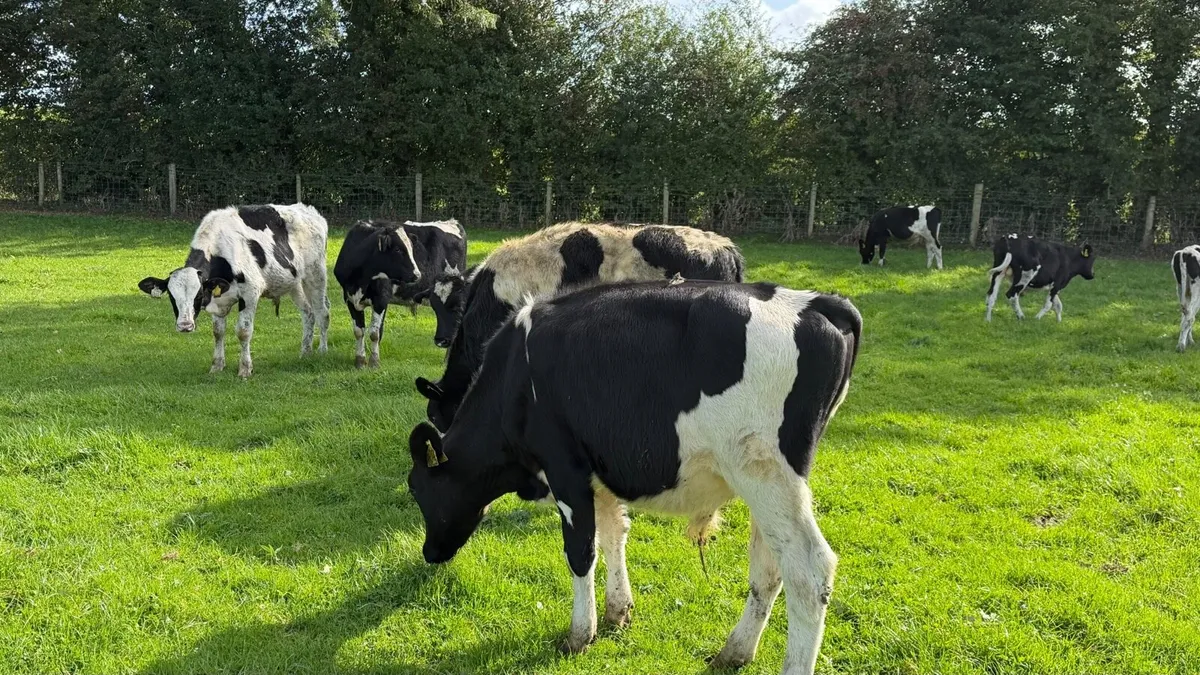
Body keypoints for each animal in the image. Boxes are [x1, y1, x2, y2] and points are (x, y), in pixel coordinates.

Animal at [138, 204, 330, 377]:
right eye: (172, 296)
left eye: (198, 295)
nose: (185, 325)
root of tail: (308, 210)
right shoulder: (217, 299)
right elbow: (218, 332)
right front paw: (217, 366)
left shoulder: (251, 292)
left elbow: (243, 332)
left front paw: (245, 369)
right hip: (294, 283)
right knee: (308, 313)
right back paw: (305, 352)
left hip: (316, 274)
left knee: (322, 312)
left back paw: (322, 350)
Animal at [333, 219, 467, 368]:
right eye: (397, 249)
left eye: (411, 249)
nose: (417, 275)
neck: (360, 280)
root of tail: (452, 222)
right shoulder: (350, 299)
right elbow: (358, 331)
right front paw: (360, 361)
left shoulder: (381, 300)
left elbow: (374, 333)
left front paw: (374, 362)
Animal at [406, 279, 861, 675]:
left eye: (416, 488)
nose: (429, 553)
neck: (512, 383)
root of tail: (815, 301)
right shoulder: (599, 472)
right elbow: (613, 535)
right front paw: (617, 611)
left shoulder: (565, 469)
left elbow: (580, 552)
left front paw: (580, 634)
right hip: (769, 487)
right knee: (769, 568)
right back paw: (735, 651)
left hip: (765, 472)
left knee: (810, 571)